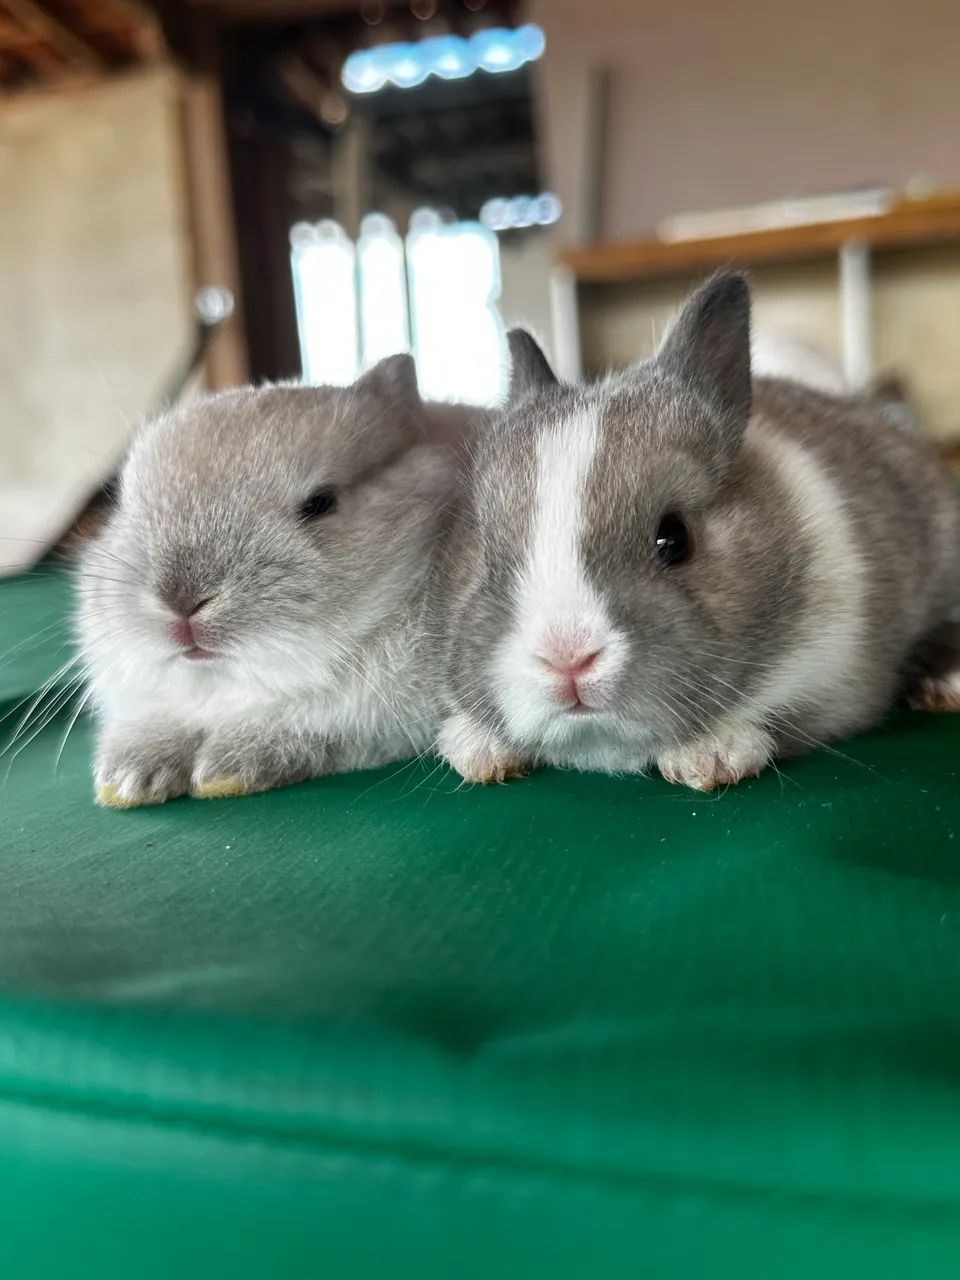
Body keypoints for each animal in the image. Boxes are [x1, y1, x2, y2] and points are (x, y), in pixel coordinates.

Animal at [78, 355, 480, 806]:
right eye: (122, 502)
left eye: (320, 503)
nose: (182, 602)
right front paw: (128, 779)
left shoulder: (377, 729)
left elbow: (309, 733)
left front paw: (225, 771)